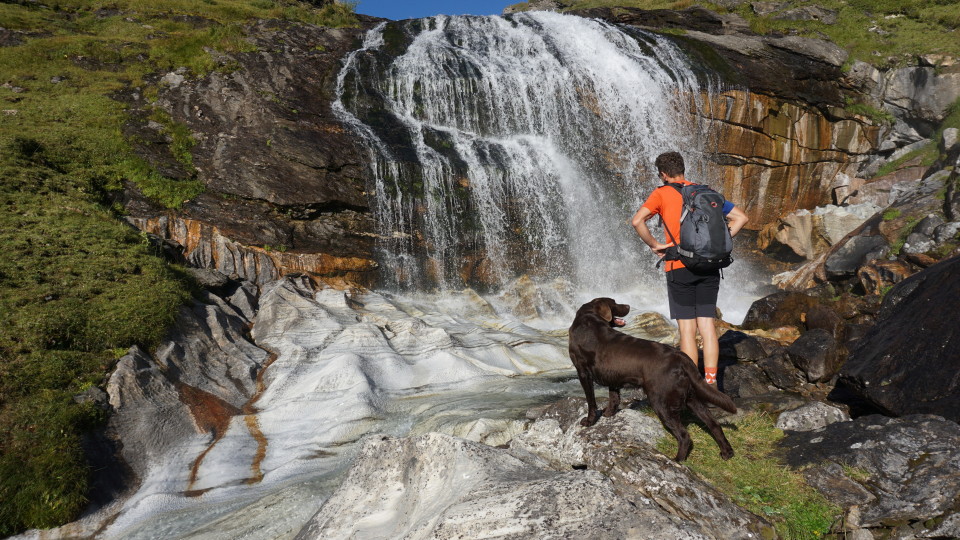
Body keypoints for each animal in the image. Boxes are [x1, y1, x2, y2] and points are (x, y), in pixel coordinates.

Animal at [568, 298, 736, 462]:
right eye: (615, 303)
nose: (628, 305)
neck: (589, 317)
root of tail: (681, 357)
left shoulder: (582, 372)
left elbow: (591, 401)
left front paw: (589, 421)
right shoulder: (611, 375)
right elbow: (613, 397)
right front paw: (608, 414)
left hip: (661, 401)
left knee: (684, 435)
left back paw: (677, 460)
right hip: (691, 397)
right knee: (714, 424)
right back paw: (727, 452)